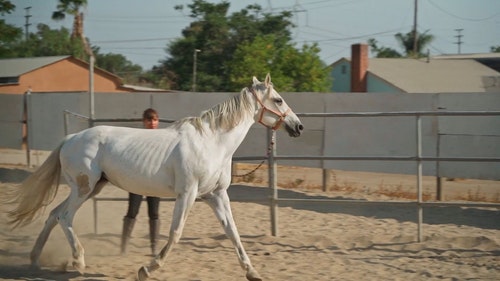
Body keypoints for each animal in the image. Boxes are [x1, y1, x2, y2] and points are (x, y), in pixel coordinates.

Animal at [7, 74, 302, 280]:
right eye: (278, 100)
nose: (297, 126)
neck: (211, 142)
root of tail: (71, 138)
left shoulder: (215, 195)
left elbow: (233, 233)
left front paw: (252, 272)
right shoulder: (188, 194)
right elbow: (175, 233)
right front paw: (147, 269)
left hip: (91, 188)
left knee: (53, 214)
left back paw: (36, 258)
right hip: (83, 189)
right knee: (64, 216)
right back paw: (78, 261)